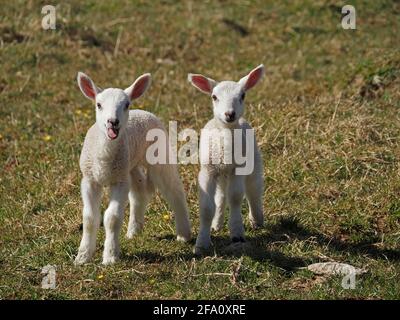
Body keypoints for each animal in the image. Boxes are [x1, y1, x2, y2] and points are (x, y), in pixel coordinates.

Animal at [76, 72, 193, 264]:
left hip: (160, 157)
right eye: (98, 105)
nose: (113, 122)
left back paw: (184, 234)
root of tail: (143, 111)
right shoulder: (89, 179)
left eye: (126, 105)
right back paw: (134, 231)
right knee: (139, 192)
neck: (104, 158)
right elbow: (89, 218)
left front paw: (110, 256)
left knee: (175, 191)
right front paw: (83, 256)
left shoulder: (119, 181)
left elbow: (112, 218)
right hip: (130, 165)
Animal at [188, 65, 266, 255]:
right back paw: (216, 224)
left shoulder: (238, 168)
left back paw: (257, 219)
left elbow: (236, 197)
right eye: (214, 97)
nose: (230, 114)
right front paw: (202, 243)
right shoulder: (207, 171)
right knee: (221, 196)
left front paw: (237, 233)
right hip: (221, 174)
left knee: (253, 190)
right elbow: (207, 207)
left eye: (242, 95)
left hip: (253, 162)